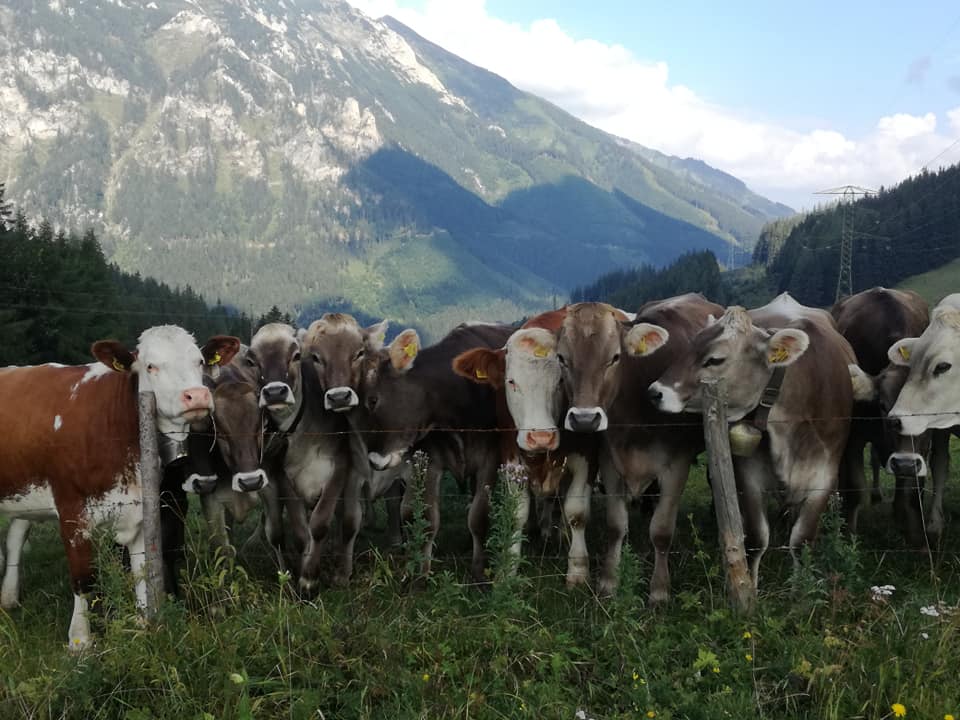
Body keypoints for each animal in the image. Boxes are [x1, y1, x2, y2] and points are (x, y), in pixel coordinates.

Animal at [0, 330, 239, 648]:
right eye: (150, 366)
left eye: (199, 361)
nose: (196, 396)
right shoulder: (72, 512)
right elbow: (84, 577)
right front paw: (80, 640)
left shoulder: (139, 511)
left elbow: (141, 572)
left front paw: (144, 625)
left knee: (15, 535)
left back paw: (9, 597)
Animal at [350, 324, 516, 584]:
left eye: (373, 400)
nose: (374, 460)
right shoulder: (429, 460)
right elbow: (426, 518)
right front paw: (421, 574)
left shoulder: (490, 460)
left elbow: (480, 516)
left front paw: (479, 571)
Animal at [552, 294, 724, 600]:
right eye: (562, 358)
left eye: (615, 357)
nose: (584, 419)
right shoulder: (610, 461)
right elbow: (615, 525)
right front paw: (609, 582)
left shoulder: (677, 464)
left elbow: (662, 530)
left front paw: (659, 590)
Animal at [644, 292, 856, 592]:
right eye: (689, 346)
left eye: (715, 359)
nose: (655, 392)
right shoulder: (749, 474)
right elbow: (757, 538)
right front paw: (751, 587)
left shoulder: (823, 477)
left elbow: (802, 540)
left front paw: (800, 588)